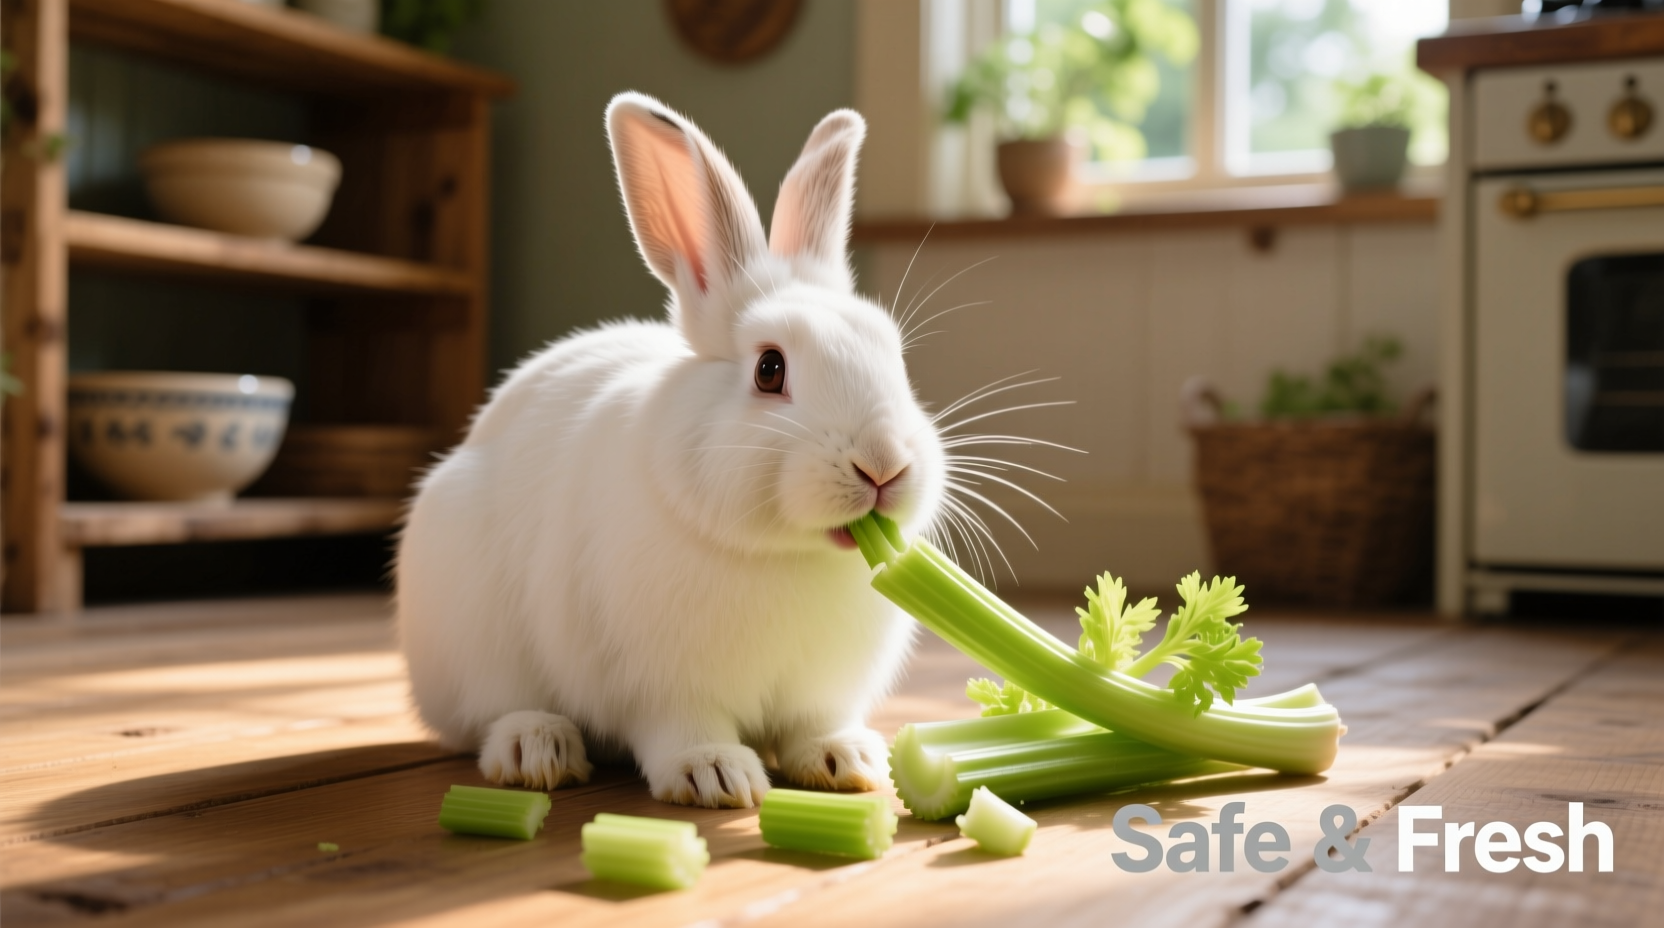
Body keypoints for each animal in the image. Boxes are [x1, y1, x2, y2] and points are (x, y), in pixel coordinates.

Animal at [395, 91, 948, 809]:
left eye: (894, 355)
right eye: (769, 369)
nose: (883, 464)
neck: (782, 556)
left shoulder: (819, 690)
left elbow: (813, 725)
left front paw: (847, 761)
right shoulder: (662, 685)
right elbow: (682, 728)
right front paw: (713, 775)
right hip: (472, 632)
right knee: (492, 712)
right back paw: (537, 750)